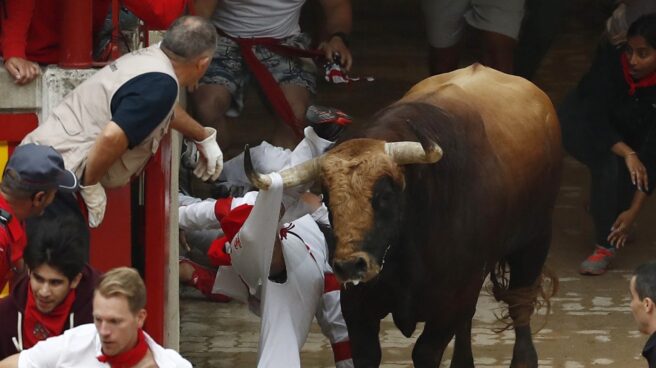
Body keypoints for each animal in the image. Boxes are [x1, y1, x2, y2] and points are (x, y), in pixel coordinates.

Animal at [246, 64, 564, 366]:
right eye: (326, 196)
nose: (349, 265)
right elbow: (367, 354)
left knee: (520, 305)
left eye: (385, 196)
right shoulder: (358, 307)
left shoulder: (449, 304)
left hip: (535, 241)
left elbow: (425, 353)